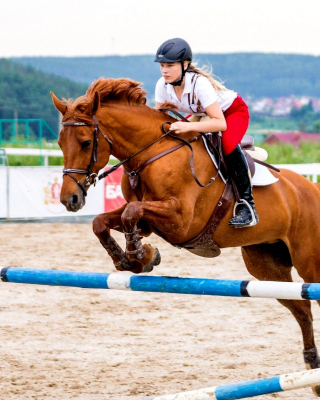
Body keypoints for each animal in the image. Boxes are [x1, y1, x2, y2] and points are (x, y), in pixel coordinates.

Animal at [50, 77, 320, 394]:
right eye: (60, 143)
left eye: (86, 142)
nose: (70, 199)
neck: (150, 154)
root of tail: (312, 189)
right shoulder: (149, 222)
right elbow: (104, 221)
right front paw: (134, 259)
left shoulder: (182, 220)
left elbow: (131, 212)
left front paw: (140, 256)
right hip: (266, 266)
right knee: (302, 308)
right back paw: (312, 366)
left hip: (309, 263)